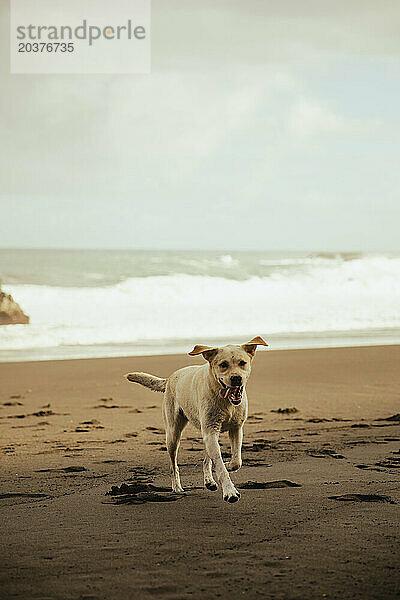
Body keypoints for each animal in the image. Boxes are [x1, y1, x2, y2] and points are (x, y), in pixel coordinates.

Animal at [126, 338, 268, 502]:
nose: (236, 378)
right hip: (173, 434)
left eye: (242, 363)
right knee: (173, 465)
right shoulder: (210, 431)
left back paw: (209, 480)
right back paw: (177, 487)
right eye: (223, 364)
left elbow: (236, 461)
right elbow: (220, 466)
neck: (225, 401)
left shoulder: (235, 428)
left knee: (207, 458)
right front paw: (230, 491)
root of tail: (169, 379)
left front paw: (226, 466)